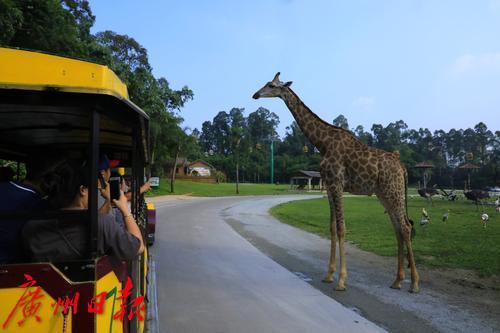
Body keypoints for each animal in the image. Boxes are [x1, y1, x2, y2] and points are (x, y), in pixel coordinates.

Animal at [252, 72, 420, 290]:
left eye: (271, 85)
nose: (255, 94)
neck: (322, 143)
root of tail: (402, 167)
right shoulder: (330, 187)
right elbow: (332, 228)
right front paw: (329, 275)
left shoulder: (337, 184)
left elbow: (341, 228)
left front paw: (341, 280)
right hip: (384, 193)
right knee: (398, 228)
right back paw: (397, 280)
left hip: (394, 191)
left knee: (406, 227)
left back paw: (414, 283)